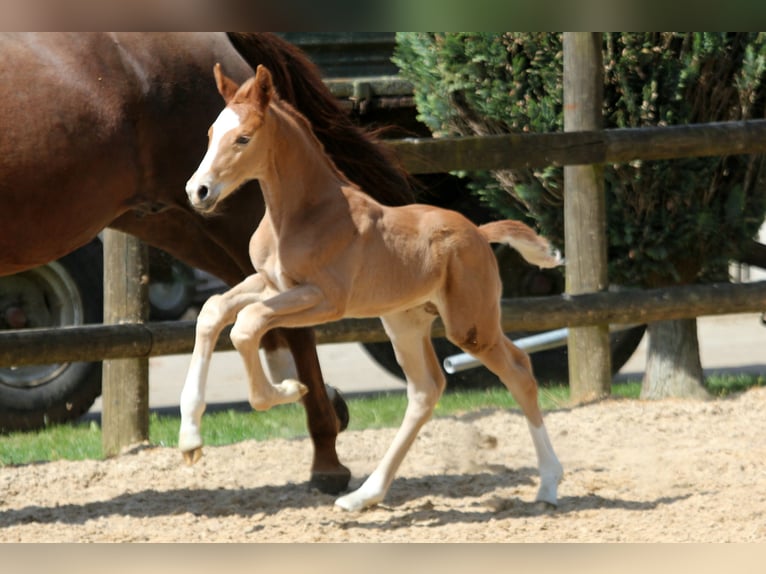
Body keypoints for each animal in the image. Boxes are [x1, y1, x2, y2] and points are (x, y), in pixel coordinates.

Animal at [0, 32, 414, 496]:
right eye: (214, 134)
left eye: (242, 139)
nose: (198, 186)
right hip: (173, 216)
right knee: (252, 304)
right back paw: (301, 399)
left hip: (225, 210)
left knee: (287, 318)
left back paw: (324, 453)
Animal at [180, 64, 564, 512]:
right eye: (210, 133)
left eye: (243, 138)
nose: (198, 191)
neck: (306, 213)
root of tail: (480, 233)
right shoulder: (270, 282)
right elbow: (214, 311)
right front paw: (190, 438)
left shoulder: (324, 298)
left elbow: (246, 323)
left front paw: (288, 389)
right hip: (404, 322)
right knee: (425, 391)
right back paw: (364, 495)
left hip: (470, 324)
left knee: (518, 370)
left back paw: (549, 484)